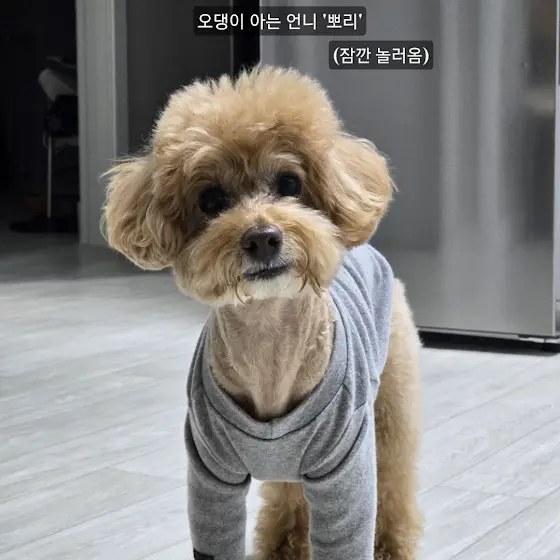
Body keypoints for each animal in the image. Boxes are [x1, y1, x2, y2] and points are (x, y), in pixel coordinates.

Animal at [103, 66, 422, 560]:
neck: (270, 344)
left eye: (290, 184)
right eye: (211, 199)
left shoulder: (346, 468)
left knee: (394, 485)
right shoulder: (210, 472)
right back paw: (281, 545)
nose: (262, 237)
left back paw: (391, 545)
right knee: (289, 496)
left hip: (390, 408)